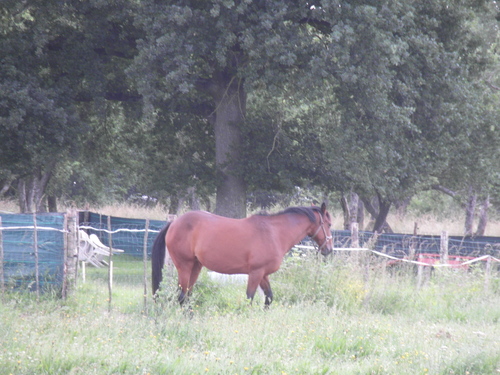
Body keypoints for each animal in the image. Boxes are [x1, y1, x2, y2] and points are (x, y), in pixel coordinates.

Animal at [150, 204, 334, 306]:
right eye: (329, 224)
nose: (329, 249)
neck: (273, 233)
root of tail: (174, 223)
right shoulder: (255, 273)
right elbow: (249, 298)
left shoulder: (263, 274)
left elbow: (269, 298)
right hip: (185, 266)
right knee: (182, 296)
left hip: (196, 266)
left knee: (187, 294)